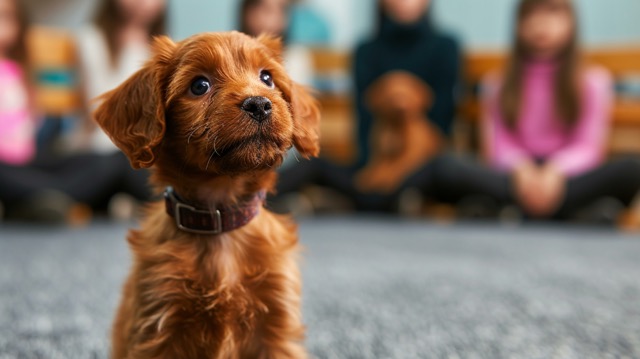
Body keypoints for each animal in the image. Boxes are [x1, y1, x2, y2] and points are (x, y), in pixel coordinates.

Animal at [94, 31, 320, 359]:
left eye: (267, 78)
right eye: (200, 86)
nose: (259, 104)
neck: (219, 219)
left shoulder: (277, 326)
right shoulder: (159, 324)